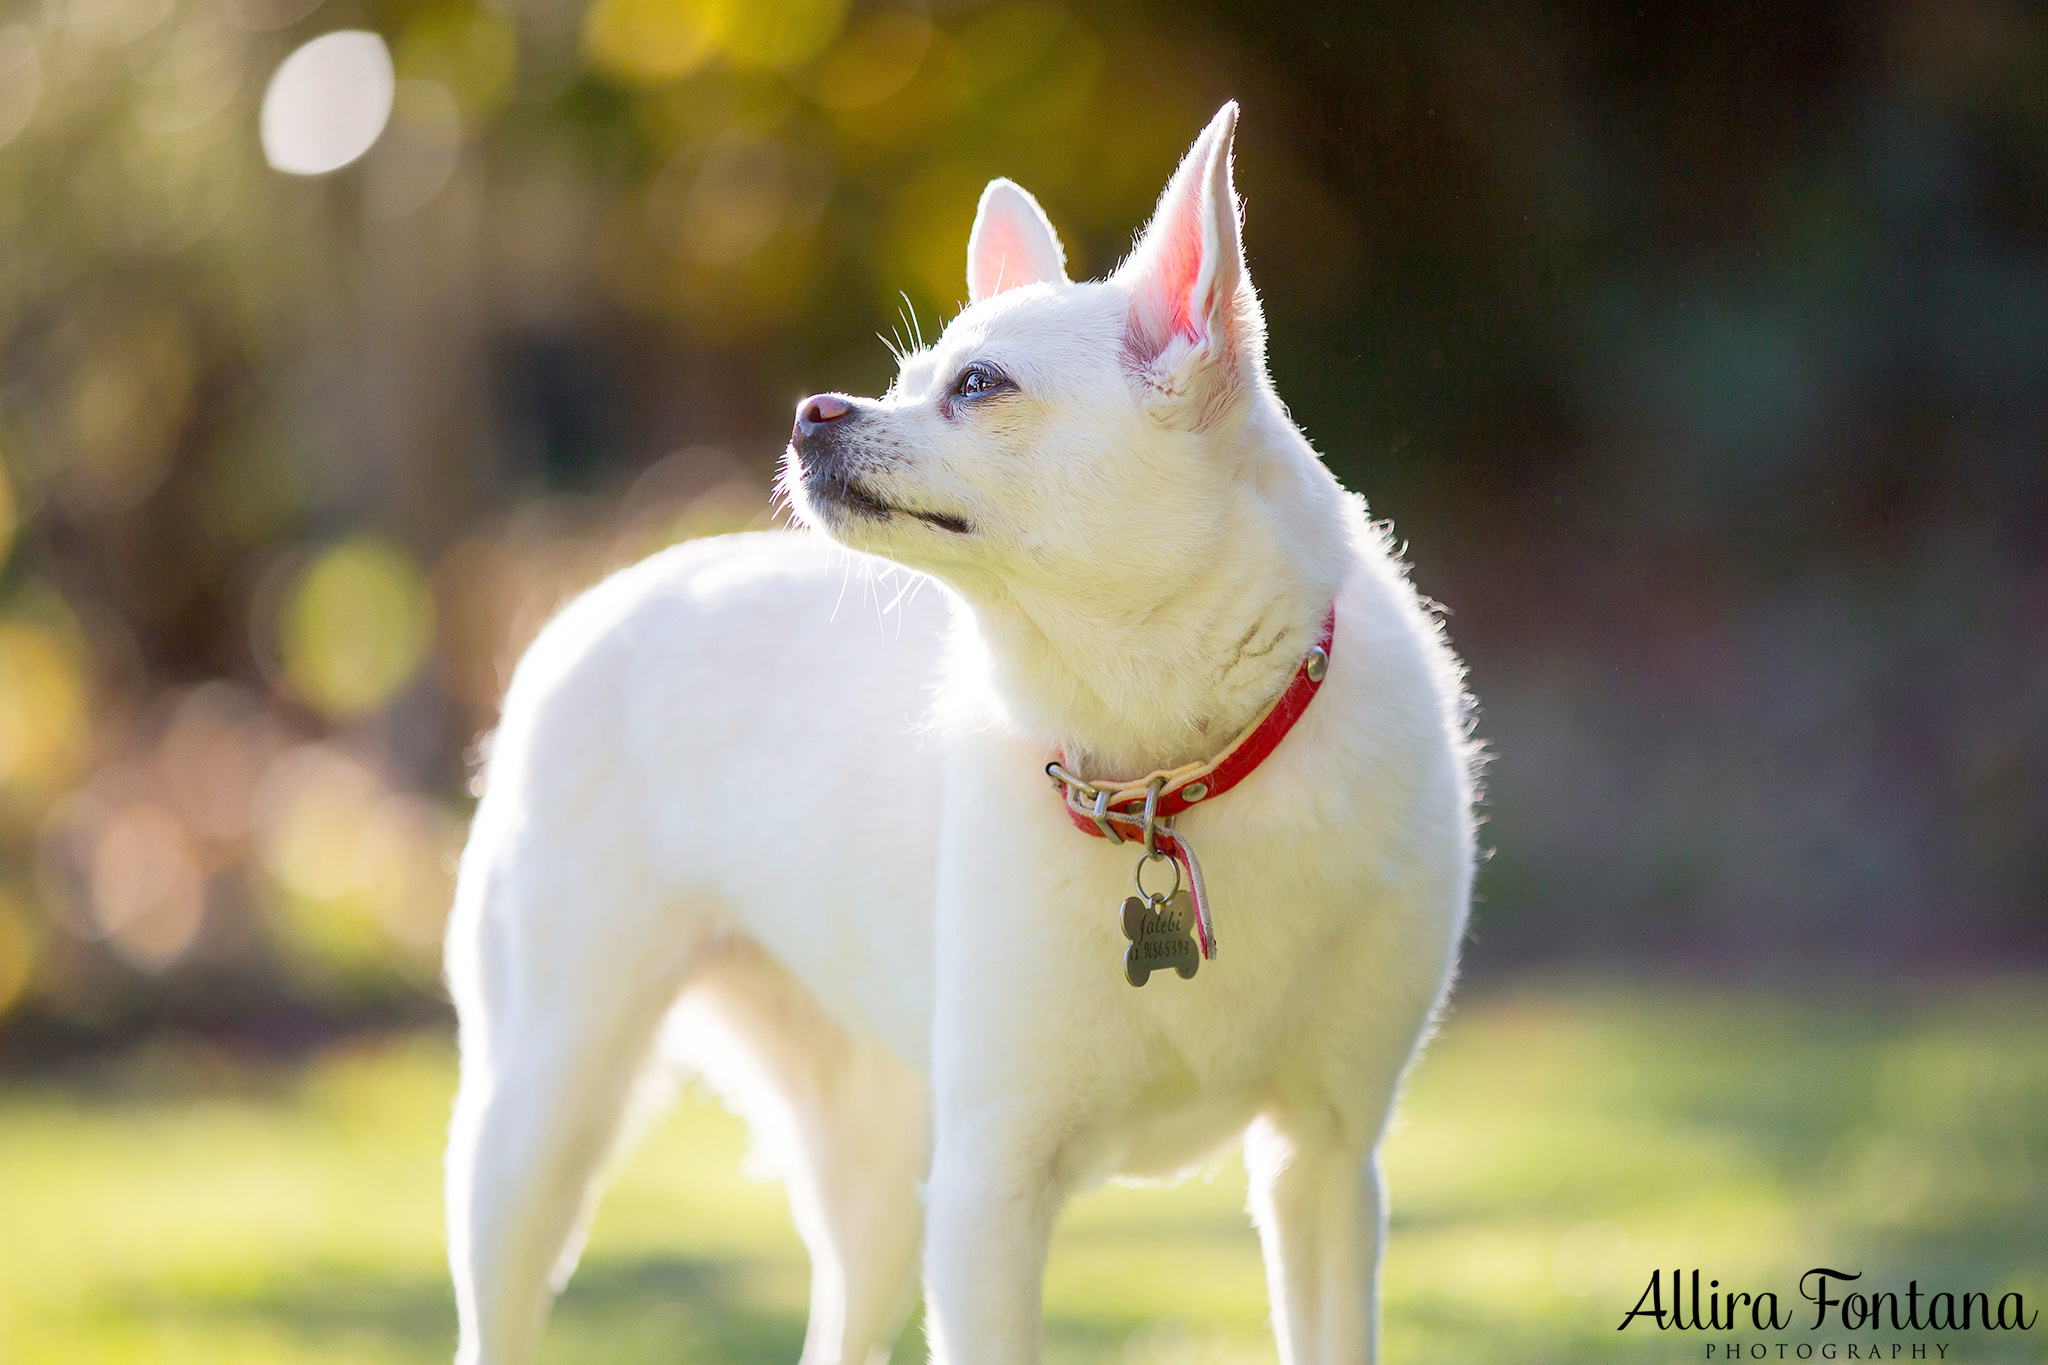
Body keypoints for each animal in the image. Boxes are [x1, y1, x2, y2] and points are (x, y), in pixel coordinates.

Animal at [444, 104, 1474, 1365]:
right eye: (904, 380)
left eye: (977, 384)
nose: (812, 410)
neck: (1162, 774)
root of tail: (594, 597)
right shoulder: (990, 1194)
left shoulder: (1323, 1163)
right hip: (539, 1123)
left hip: (878, 1182)